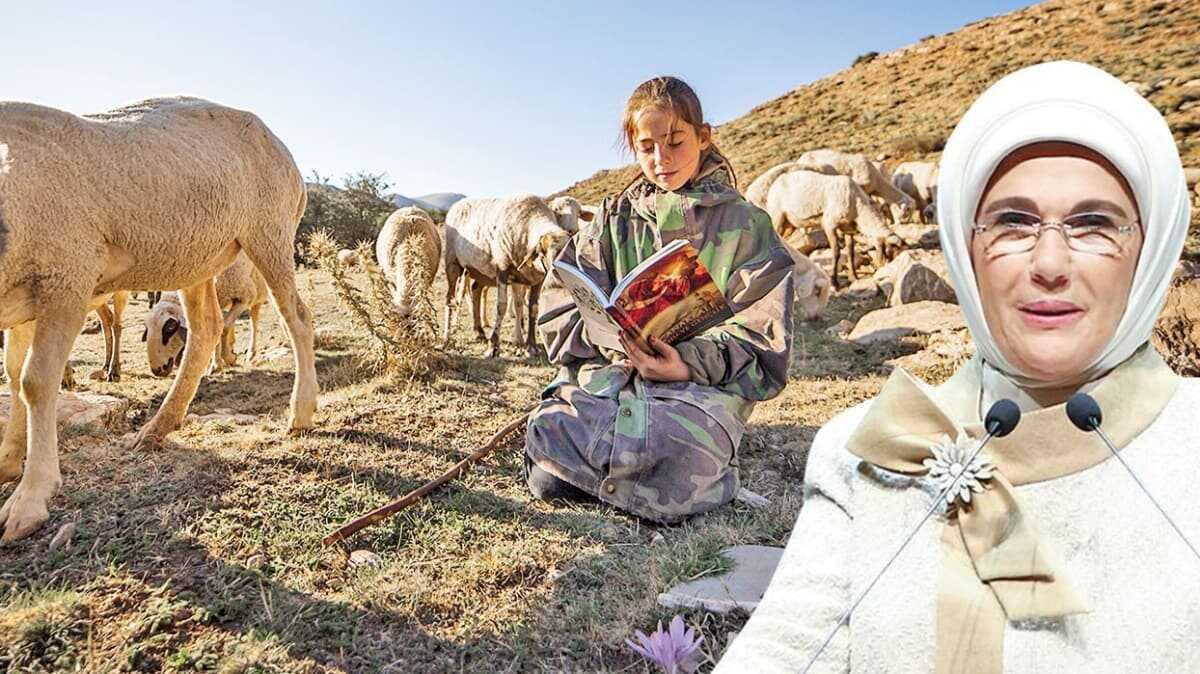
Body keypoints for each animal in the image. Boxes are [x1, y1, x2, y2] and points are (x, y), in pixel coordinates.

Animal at [0, 95, 319, 539]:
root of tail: (279, 144)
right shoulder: (25, 301)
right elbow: (13, 376)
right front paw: (9, 461)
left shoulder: (68, 279)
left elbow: (35, 382)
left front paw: (30, 499)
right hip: (198, 258)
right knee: (206, 328)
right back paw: (157, 428)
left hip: (268, 232)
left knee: (297, 318)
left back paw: (300, 413)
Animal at [444, 193, 568, 357]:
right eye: (548, 255)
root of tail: (458, 204)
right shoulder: (502, 269)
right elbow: (501, 307)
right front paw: (493, 346)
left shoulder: (536, 279)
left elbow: (532, 308)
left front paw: (531, 346)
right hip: (452, 261)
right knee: (450, 298)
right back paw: (447, 338)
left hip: (479, 269)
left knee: (476, 290)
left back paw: (479, 332)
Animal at [763, 169, 902, 287]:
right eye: (892, 251)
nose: (884, 271)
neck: (858, 205)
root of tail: (775, 183)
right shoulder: (829, 224)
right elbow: (836, 251)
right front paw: (834, 282)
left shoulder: (848, 229)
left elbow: (850, 251)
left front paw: (854, 277)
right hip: (777, 217)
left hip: (789, 224)